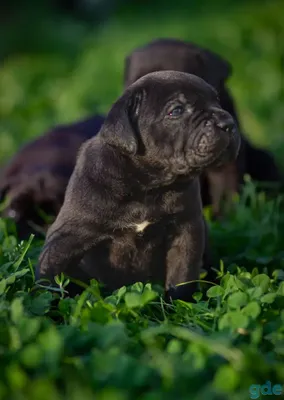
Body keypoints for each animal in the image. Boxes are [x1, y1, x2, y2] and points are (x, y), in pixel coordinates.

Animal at [36, 71, 240, 300]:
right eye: (176, 111)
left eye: (217, 101)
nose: (228, 122)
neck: (147, 183)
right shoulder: (68, 237)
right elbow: (50, 271)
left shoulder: (187, 229)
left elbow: (182, 275)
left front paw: (179, 303)